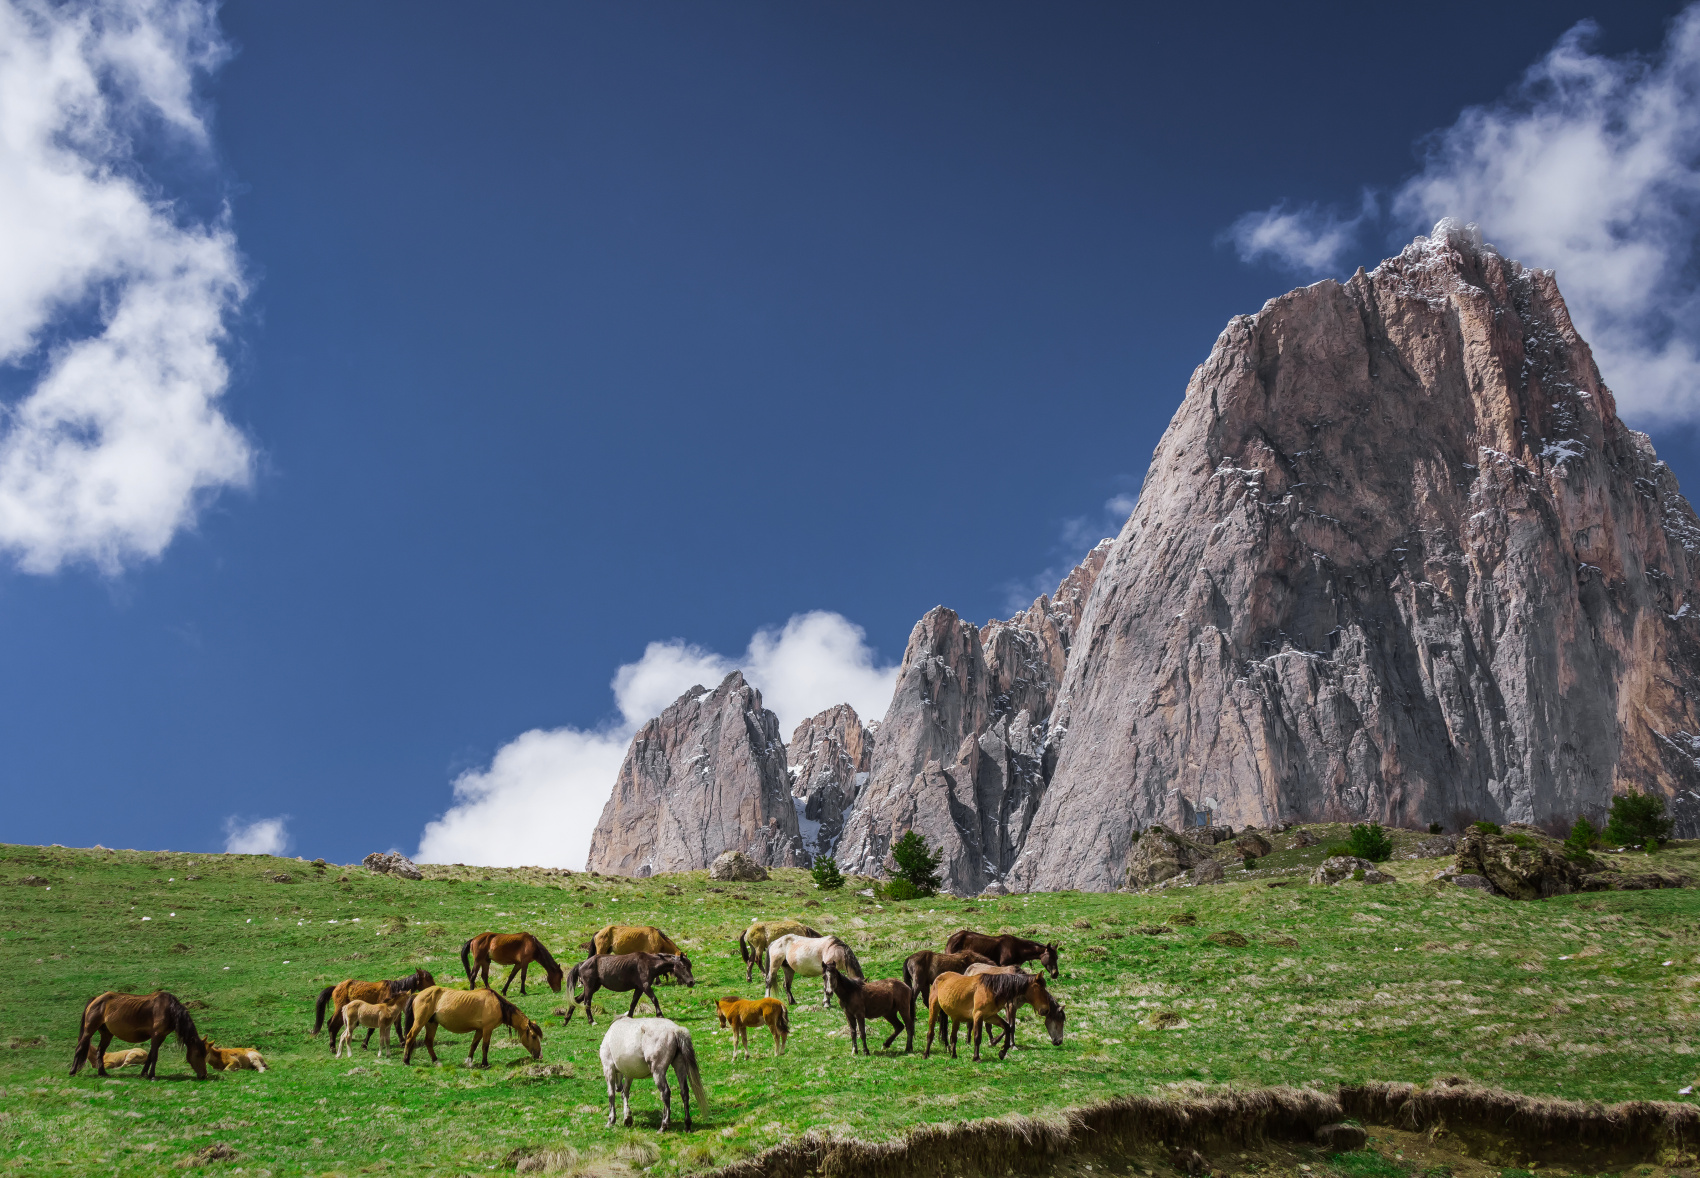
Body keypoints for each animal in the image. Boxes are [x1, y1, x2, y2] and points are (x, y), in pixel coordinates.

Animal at [70, 985, 207, 1081]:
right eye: (198, 1054)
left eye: (205, 1054)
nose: (204, 1075)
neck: (169, 1010)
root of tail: (96, 999)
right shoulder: (156, 1035)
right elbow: (155, 1056)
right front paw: (152, 1075)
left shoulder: (161, 1037)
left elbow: (151, 1055)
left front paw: (144, 1073)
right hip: (89, 1030)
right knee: (80, 1048)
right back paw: (72, 1071)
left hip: (106, 1034)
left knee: (100, 1051)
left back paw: (102, 1073)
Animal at [404, 985, 544, 1067]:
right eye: (533, 1036)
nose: (540, 1056)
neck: (497, 1004)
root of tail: (418, 994)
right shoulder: (487, 1029)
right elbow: (485, 1046)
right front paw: (485, 1063)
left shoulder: (480, 1030)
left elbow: (474, 1045)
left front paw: (469, 1061)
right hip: (420, 1022)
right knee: (410, 1037)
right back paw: (406, 1061)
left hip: (431, 1023)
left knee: (428, 1041)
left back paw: (436, 1061)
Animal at [557, 945, 690, 1019]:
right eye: (683, 966)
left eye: (690, 966)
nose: (691, 982)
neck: (648, 963)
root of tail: (582, 964)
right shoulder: (646, 986)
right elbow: (654, 999)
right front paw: (660, 1014)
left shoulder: (639, 988)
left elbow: (633, 1003)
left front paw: (629, 1016)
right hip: (589, 987)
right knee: (587, 1002)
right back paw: (591, 1021)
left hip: (594, 987)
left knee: (576, 999)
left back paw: (566, 1019)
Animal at [924, 972, 1067, 1060]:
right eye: (1041, 989)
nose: (1046, 1010)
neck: (992, 988)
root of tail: (939, 977)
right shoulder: (978, 1015)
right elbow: (977, 1037)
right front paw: (976, 1057)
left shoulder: (990, 1016)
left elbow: (1007, 1027)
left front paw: (1002, 1052)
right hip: (934, 1009)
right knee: (930, 1033)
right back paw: (926, 1054)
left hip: (956, 1017)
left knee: (953, 1037)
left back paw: (954, 1055)